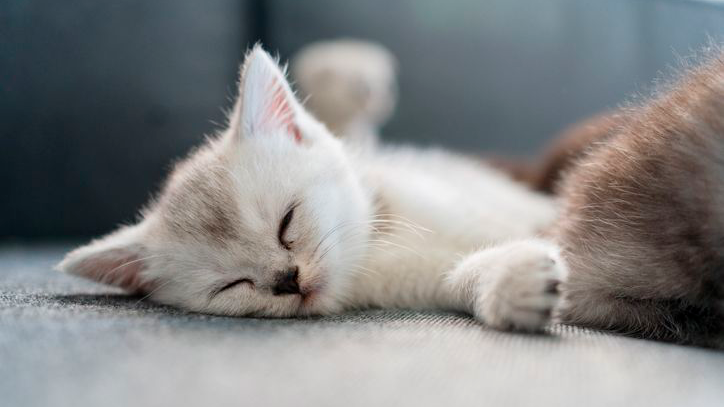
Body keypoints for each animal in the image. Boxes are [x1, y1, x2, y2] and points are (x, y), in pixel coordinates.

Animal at [58, 45, 564, 332]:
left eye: (287, 223)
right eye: (233, 285)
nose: (288, 280)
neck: (381, 238)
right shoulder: (416, 280)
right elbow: (461, 273)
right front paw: (513, 283)